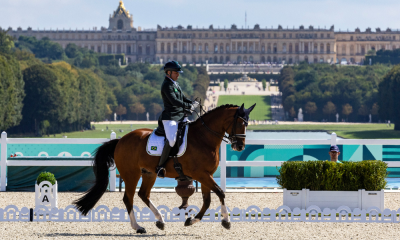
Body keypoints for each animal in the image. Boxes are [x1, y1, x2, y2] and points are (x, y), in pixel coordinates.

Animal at [74, 102, 256, 232]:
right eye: (239, 123)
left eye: (247, 123)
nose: (240, 146)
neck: (203, 138)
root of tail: (120, 140)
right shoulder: (200, 174)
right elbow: (219, 192)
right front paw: (226, 221)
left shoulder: (206, 175)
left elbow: (208, 200)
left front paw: (192, 220)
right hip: (131, 174)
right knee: (128, 198)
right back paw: (138, 227)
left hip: (149, 174)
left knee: (143, 194)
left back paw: (160, 221)